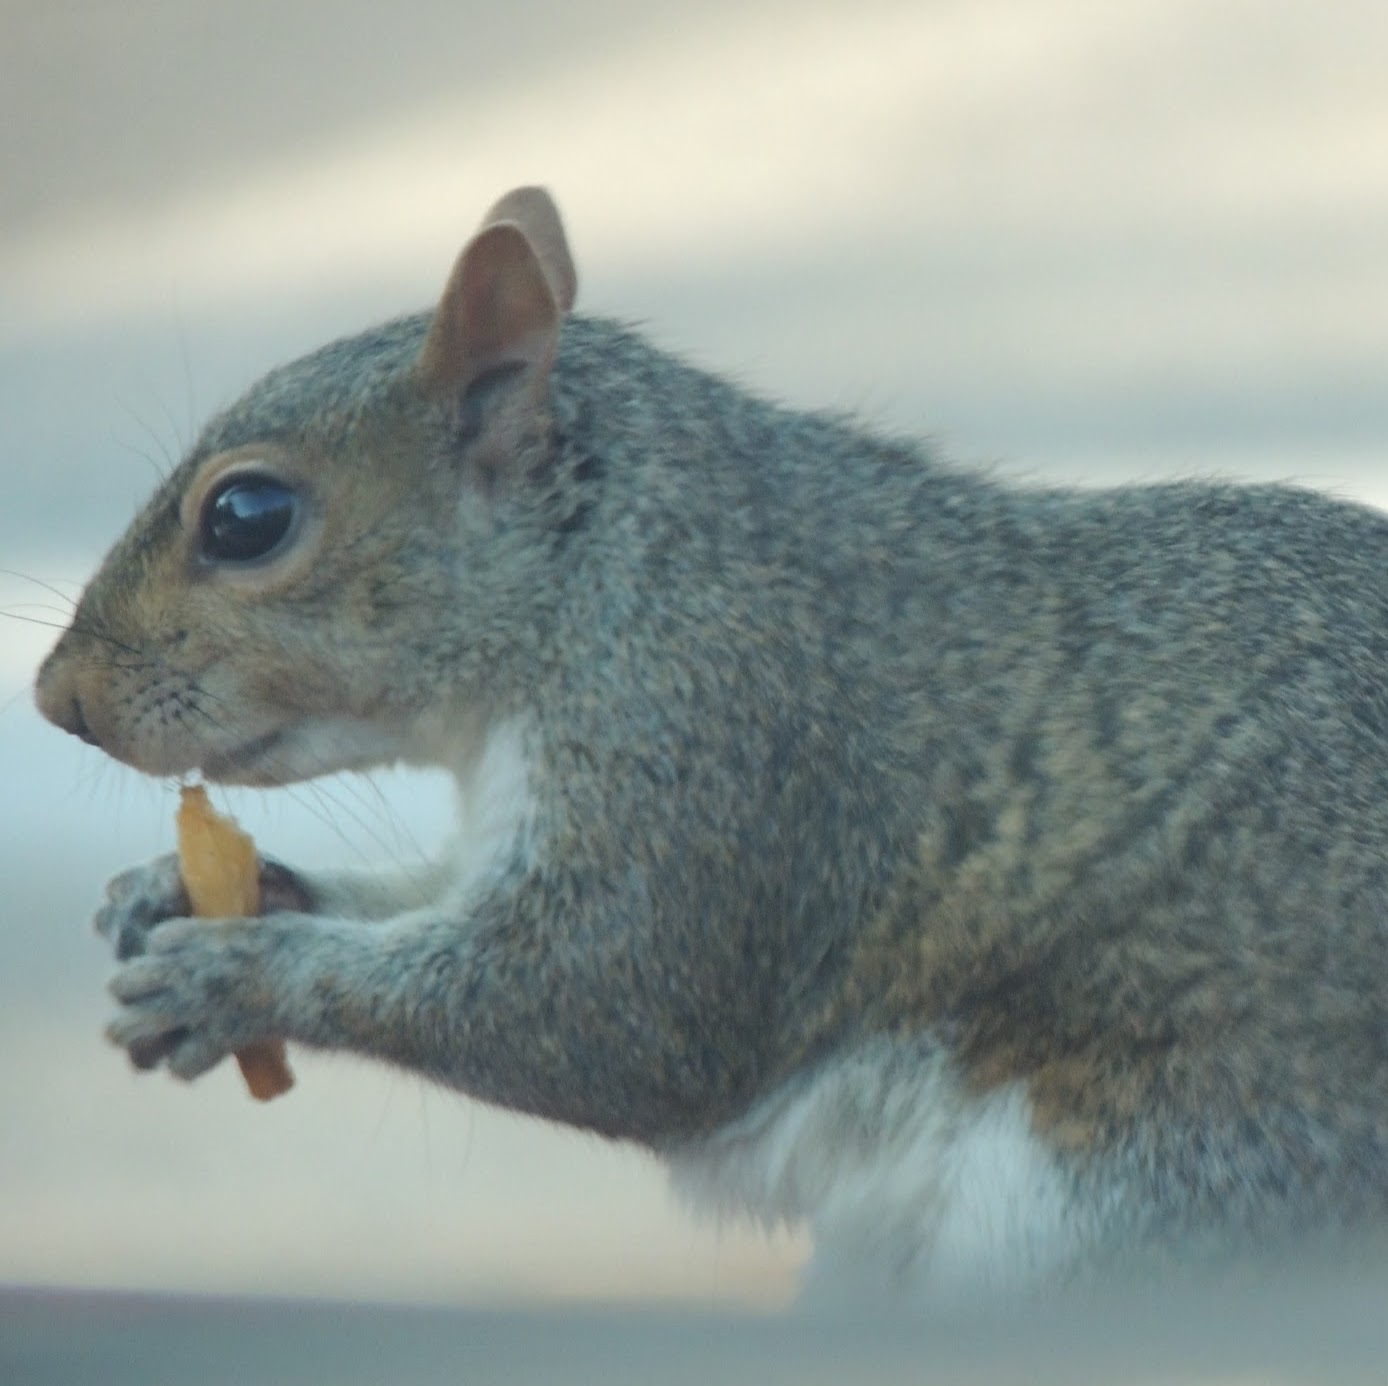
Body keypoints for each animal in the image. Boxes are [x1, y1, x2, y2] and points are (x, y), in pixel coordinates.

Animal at [29, 181, 1388, 1298]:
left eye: (247, 516)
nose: (54, 700)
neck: (607, 573)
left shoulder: (711, 746)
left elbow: (600, 1009)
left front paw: (238, 975)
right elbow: (415, 903)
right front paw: (188, 892)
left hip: (1158, 1183)